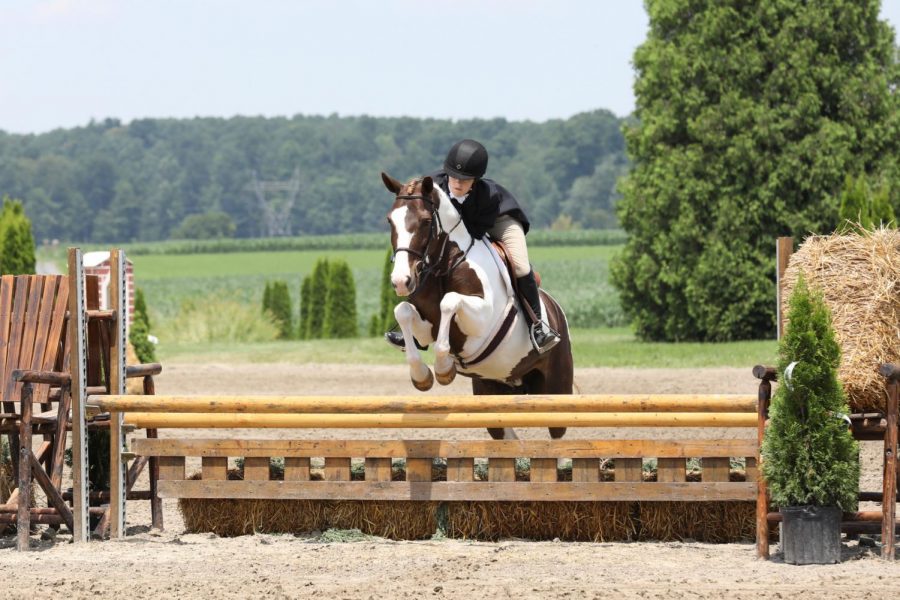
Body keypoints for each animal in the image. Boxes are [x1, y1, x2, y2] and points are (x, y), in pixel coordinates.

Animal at [384, 173, 572, 440]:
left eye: (425, 221)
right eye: (390, 220)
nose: (401, 281)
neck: (445, 264)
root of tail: (556, 310)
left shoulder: (481, 320)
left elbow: (449, 301)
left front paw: (443, 369)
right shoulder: (424, 323)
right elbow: (403, 311)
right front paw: (422, 375)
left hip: (556, 389)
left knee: (556, 433)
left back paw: (542, 335)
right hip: (491, 389)